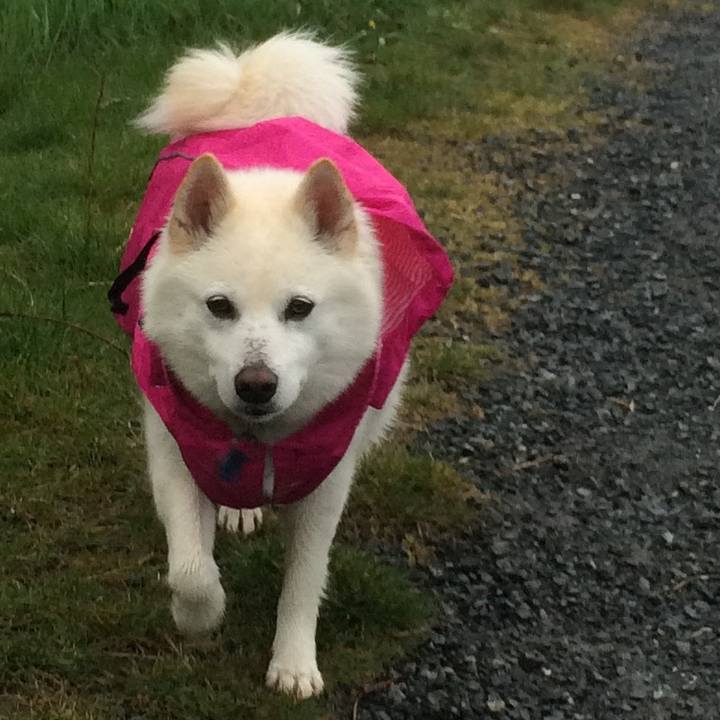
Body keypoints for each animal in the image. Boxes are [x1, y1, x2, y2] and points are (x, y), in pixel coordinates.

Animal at [110, 32, 452, 699]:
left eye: (300, 308)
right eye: (219, 306)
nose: (256, 386)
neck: (260, 437)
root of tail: (262, 110)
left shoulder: (327, 480)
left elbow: (304, 581)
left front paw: (294, 663)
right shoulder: (174, 449)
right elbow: (191, 565)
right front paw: (201, 614)